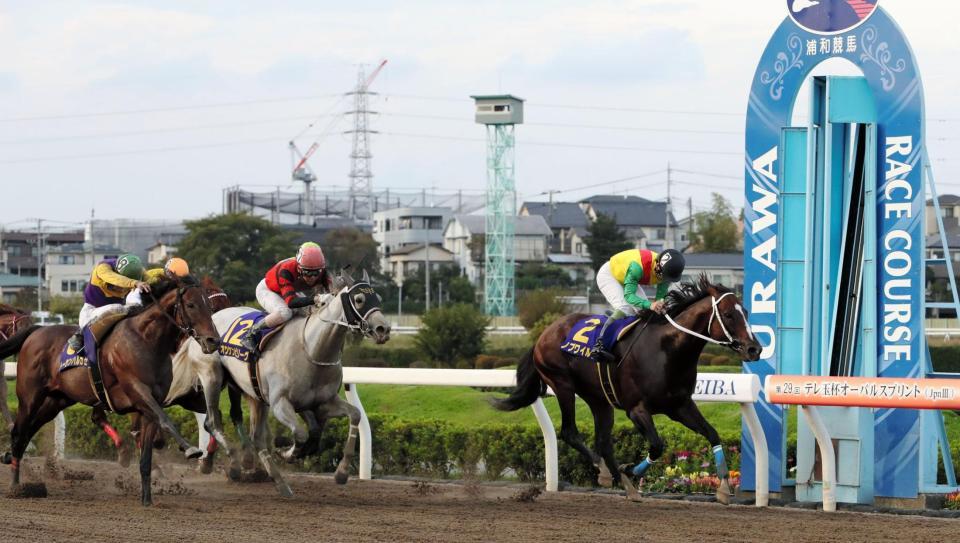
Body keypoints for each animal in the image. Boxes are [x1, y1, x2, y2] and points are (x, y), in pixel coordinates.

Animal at [0, 278, 219, 508]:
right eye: (191, 305)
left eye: (210, 306)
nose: (213, 340)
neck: (146, 340)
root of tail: (36, 331)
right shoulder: (139, 392)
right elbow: (165, 420)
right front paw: (190, 448)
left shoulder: (151, 405)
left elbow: (147, 455)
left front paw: (147, 499)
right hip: (30, 397)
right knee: (18, 433)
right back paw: (16, 486)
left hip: (55, 401)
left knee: (27, 432)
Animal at [176, 272, 390, 498]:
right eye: (359, 299)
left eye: (377, 298)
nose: (383, 329)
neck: (311, 349)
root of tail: (205, 327)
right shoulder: (280, 404)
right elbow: (301, 434)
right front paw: (286, 452)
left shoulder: (323, 403)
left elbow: (354, 416)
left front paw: (341, 473)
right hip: (212, 376)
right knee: (212, 422)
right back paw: (233, 464)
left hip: (252, 392)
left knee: (256, 437)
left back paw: (278, 482)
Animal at [492, 274, 760, 504]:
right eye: (728, 315)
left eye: (746, 312)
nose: (754, 349)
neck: (668, 349)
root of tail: (543, 335)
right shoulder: (637, 409)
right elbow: (657, 445)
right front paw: (630, 470)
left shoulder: (680, 406)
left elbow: (712, 434)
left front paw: (723, 487)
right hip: (562, 384)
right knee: (569, 431)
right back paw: (604, 471)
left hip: (599, 399)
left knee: (602, 441)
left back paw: (621, 482)